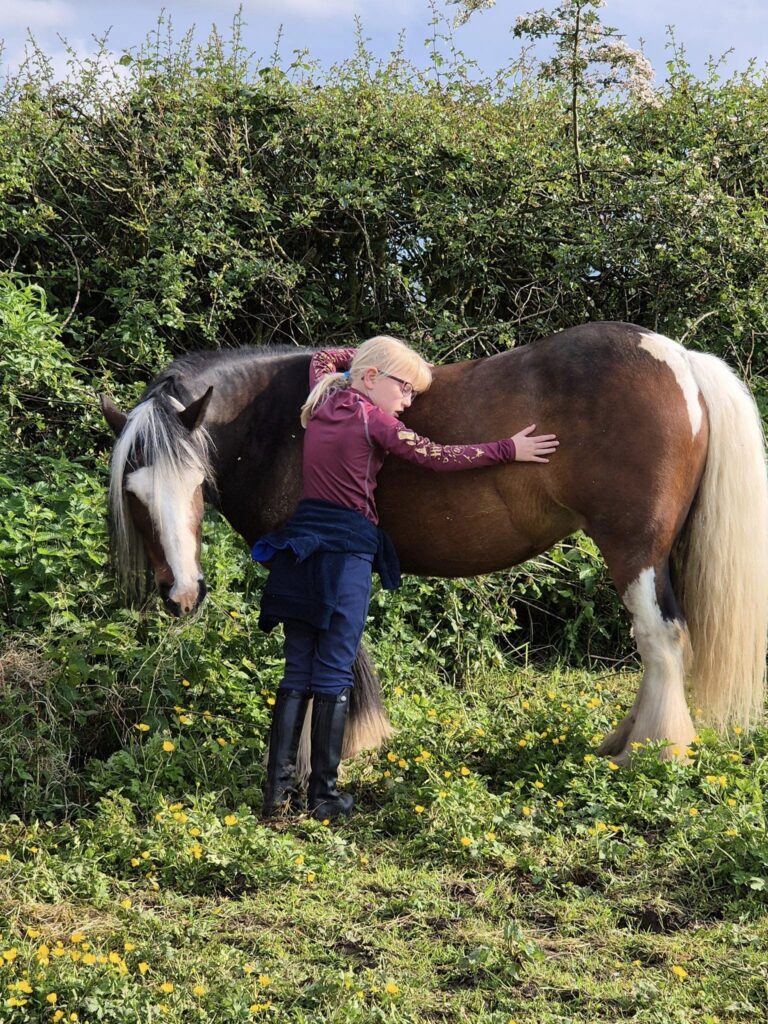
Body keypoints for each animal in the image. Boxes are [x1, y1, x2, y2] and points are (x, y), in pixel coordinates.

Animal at [100, 321, 768, 767]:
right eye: (134, 494)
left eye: (196, 481)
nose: (182, 594)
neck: (281, 423)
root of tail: (680, 360)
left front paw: (336, 751)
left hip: (634, 550)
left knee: (661, 640)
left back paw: (653, 752)